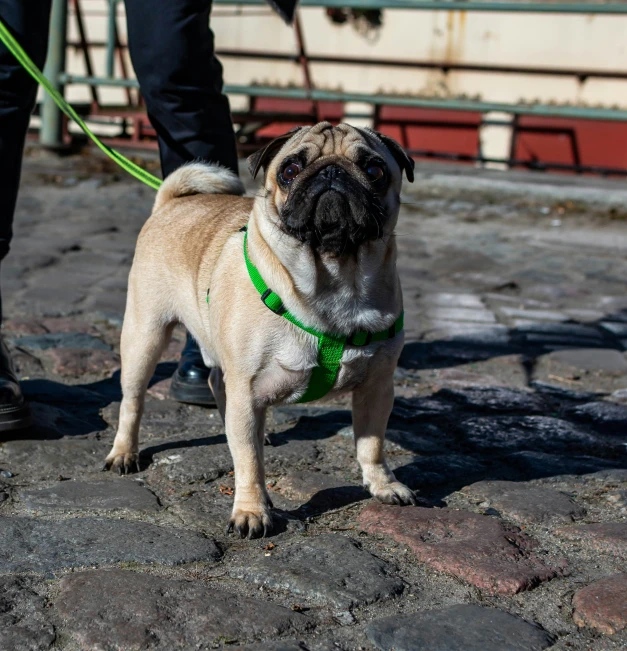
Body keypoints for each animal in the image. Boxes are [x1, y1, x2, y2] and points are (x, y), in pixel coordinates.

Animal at [103, 122, 418, 540]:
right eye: (290, 170)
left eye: (374, 170)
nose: (331, 172)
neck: (335, 280)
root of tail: (172, 202)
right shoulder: (248, 386)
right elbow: (250, 463)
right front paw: (252, 511)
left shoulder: (377, 388)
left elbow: (372, 444)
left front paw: (383, 484)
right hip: (145, 335)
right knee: (133, 400)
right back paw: (124, 452)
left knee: (218, 387)